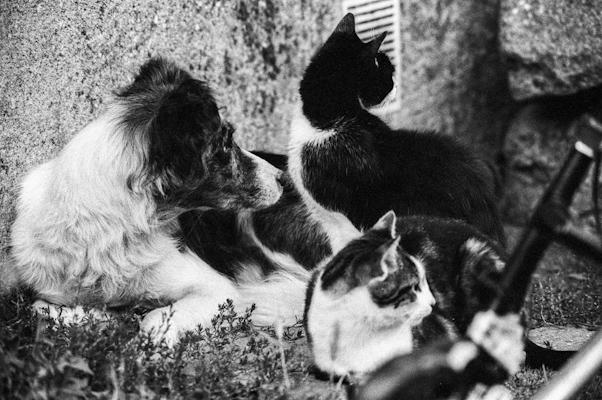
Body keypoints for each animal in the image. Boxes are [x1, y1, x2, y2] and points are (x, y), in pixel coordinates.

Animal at [7, 57, 282, 346]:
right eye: (226, 144)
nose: (282, 177)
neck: (110, 229)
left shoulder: (218, 290)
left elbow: (153, 318)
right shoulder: (47, 289)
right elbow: (41, 308)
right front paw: (106, 317)